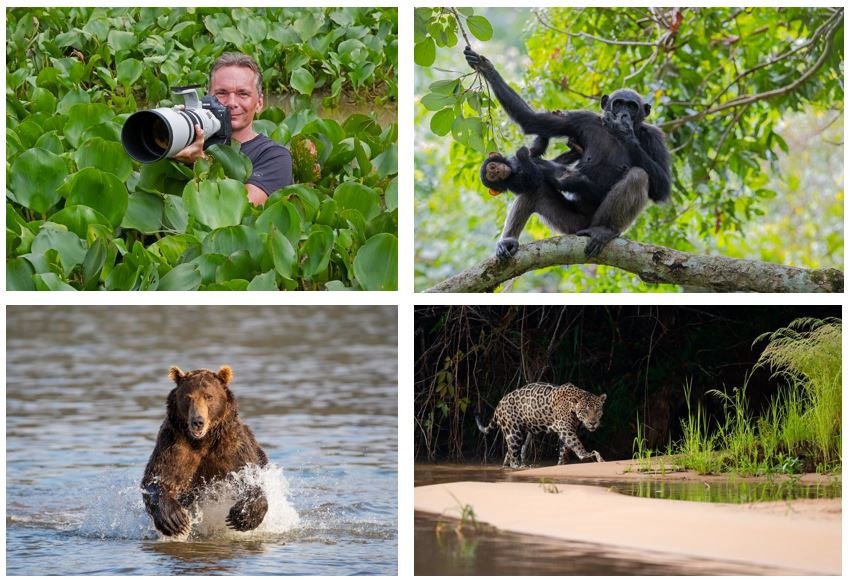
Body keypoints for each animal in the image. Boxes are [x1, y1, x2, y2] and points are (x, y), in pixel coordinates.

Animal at [141, 364, 266, 536]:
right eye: (188, 397)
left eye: (209, 396)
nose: (197, 422)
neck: (203, 441)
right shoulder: (173, 445)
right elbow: (158, 478)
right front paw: (174, 520)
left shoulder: (232, 446)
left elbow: (249, 476)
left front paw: (242, 516)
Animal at [466, 46, 672, 260]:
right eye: (618, 103)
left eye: (631, 106)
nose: (623, 114)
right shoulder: (581, 119)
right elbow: (531, 120)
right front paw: (486, 67)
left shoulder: (655, 137)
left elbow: (662, 187)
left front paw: (624, 131)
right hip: (570, 224)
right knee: (535, 190)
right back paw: (509, 241)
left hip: (597, 220)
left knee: (638, 176)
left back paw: (605, 230)